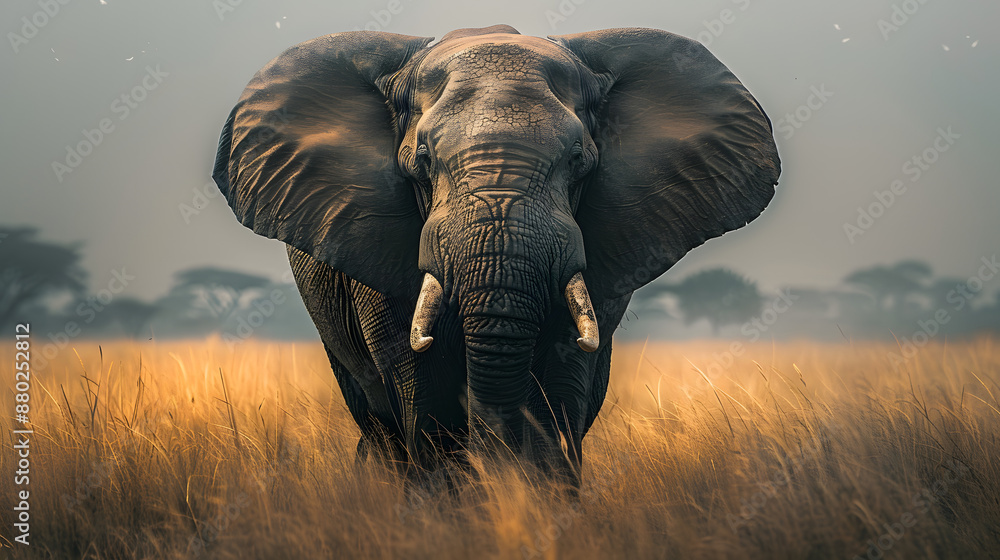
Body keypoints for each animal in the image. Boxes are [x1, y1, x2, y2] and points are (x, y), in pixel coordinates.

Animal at [212, 24, 780, 481]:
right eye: (422, 160)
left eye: (578, 160)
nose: (494, 463)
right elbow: (420, 381)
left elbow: (561, 382)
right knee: (378, 419)